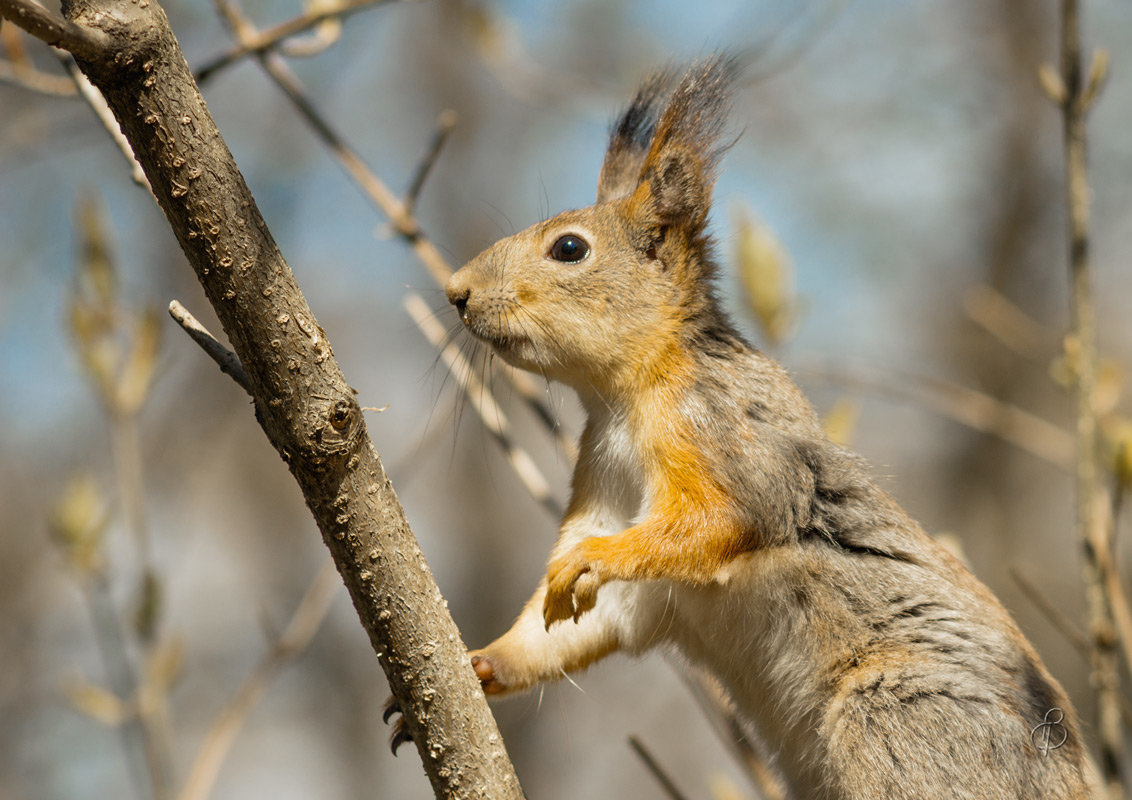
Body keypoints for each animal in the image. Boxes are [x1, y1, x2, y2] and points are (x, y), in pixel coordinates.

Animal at [436, 57, 1091, 800]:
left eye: (569, 248)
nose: (455, 291)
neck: (625, 402)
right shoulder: (605, 487)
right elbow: (586, 619)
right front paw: (486, 659)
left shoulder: (728, 441)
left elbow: (717, 523)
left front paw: (591, 559)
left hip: (897, 717)